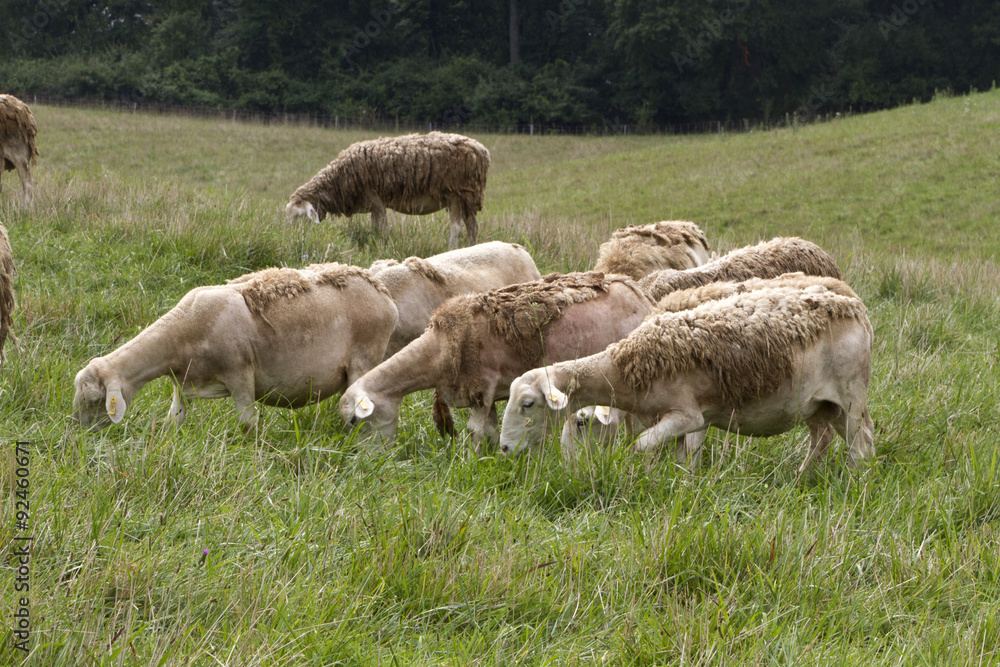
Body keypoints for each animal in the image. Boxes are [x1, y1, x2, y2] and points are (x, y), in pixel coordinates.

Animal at [73, 263, 398, 430]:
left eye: (94, 399)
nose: (80, 434)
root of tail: (382, 292)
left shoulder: (240, 376)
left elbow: (247, 423)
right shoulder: (183, 384)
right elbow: (173, 421)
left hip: (365, 359)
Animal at [285, 132, 490, 249]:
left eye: (300, 217)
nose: (294, 241)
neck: (338, 180)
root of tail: (481, 150)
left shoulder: (375, 200)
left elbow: (382, 229)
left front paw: (382, 249)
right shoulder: (372, 205)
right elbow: (375, 228)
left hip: (455, 192)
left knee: (457, 227)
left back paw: (451, 250)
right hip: (467, 196)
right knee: (472, 226)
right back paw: (471, 249)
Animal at [338, 271, 655, 448]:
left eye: (354, 421)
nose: (367, 462)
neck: (439, 351)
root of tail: (637, 291)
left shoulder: (483, 387)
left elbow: (478, 432)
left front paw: (472, 464)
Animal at [499, 281, 875, 475]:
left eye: (527, 404)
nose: (503, 448)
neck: (627, 368)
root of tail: (854, 307)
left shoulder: (688, 415)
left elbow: (642, 445)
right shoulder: (694, 421)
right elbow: (684, 457)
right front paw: (682, 485)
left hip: (851, 395)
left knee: (859, 444)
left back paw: (853, 482)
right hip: (822, 404)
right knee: (831, 438)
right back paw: (803, 478)